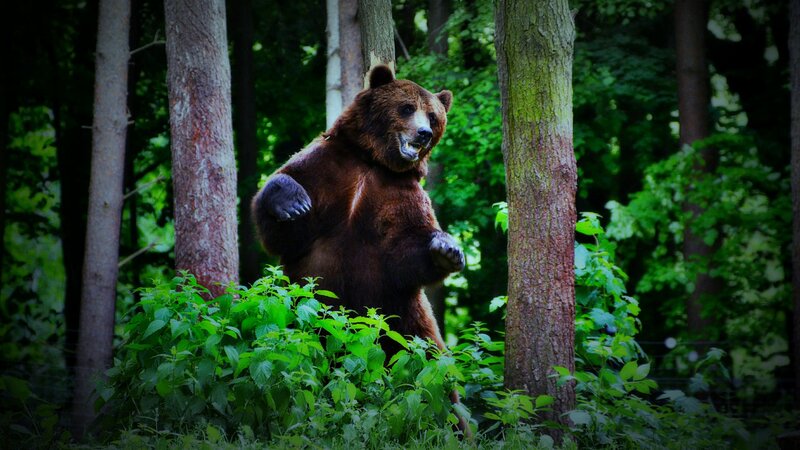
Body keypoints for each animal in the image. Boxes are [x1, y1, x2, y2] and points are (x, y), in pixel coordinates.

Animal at [251, 65, 469, 432]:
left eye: (433, 116)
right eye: (407, 107)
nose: (424, 133)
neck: (374, 162)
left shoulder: (400, 194)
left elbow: (407, 250)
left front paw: (447, 249)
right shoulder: (327, 166)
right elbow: (282, 224)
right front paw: (291, 202)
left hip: (402, 319)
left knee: (433, 373)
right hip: (306, 314)